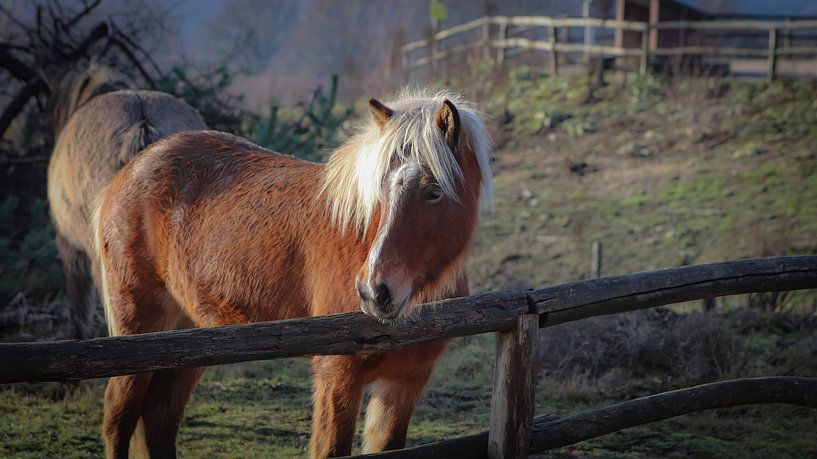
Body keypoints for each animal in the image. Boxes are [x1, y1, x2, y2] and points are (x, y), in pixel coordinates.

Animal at [93, 90, 493, 458]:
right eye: (377, 187)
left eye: (434, 191)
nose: (373, 291)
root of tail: (129, 171)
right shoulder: (338, 375)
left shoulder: (404, 383)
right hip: (139, 329)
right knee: (118, 419)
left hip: (189, 340)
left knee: (157, 421)